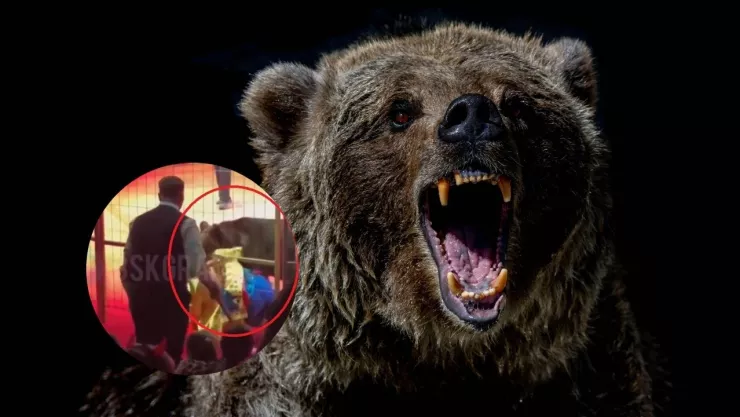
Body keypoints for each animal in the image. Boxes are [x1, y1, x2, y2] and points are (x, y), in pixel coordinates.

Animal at [82, 22, 668, 417]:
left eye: (519, 104)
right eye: (400, 111)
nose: (472, 116)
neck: (440, 350)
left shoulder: (583, 373)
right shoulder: (294, 388)